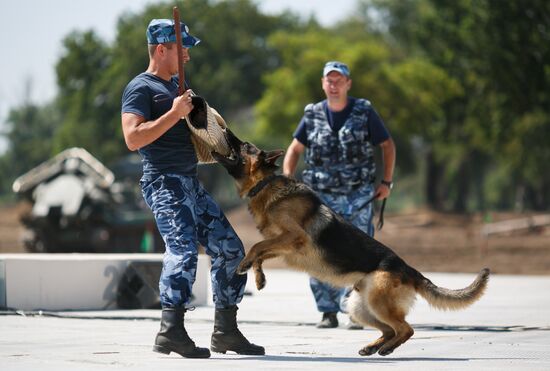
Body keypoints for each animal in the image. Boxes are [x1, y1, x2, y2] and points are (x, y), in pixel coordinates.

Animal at [213, 131, 494, 358]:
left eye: (244, 145)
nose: (225, 131)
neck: (265, 184)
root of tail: (409, 270)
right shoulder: (285, 245)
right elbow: (261, 251)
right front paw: (259, 277)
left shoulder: (293, 238)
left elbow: (256, 246)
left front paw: (244, 265)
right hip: (361, 308)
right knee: (390, 330)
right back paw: (373, 347)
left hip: (378, 303)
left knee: (406, 329)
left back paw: (385, 349)